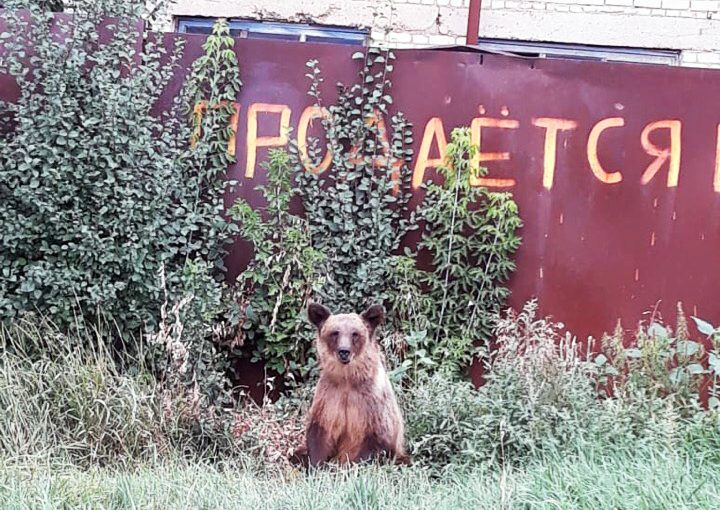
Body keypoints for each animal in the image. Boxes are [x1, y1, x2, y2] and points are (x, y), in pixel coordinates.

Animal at [301, 302, 410, 466]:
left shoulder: (372, 402)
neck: (348, 378)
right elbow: (319, 434)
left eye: (355, 333)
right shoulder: (329, 398)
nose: (344, 351)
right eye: (335, 332)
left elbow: (377, 439)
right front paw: (316, 464)